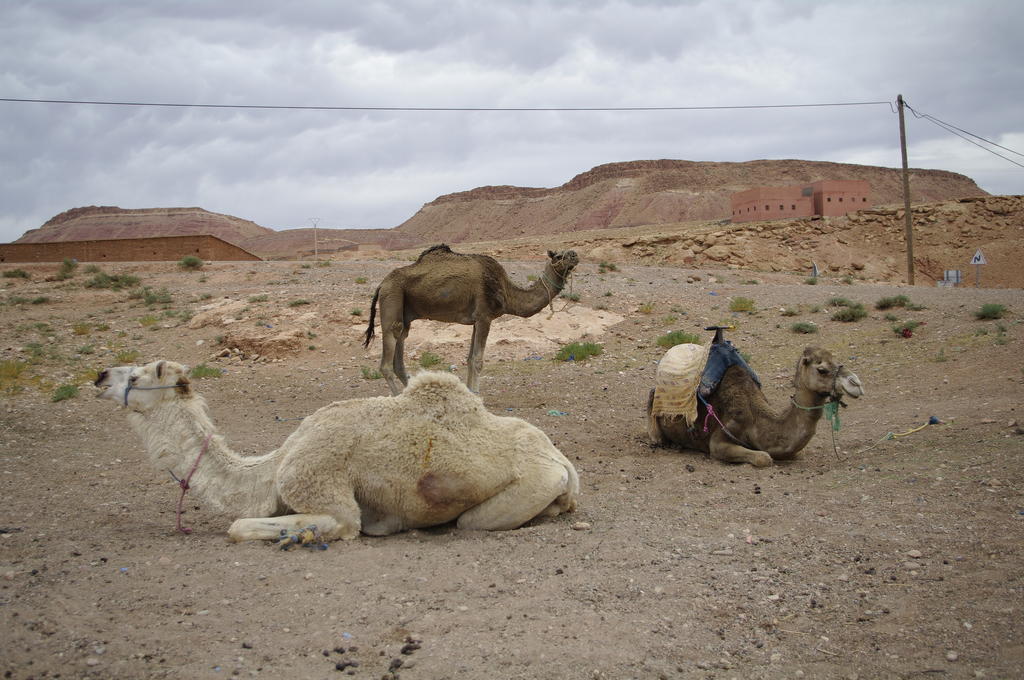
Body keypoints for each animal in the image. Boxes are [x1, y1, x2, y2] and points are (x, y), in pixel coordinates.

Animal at [94, 360, 577, 540]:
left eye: (136, 377)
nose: (99, 376)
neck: (270, 471)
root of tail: (565, 464)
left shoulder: (322, 489)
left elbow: (239, 527)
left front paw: (302, 537)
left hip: (524, 490)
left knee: (472, 521)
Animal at [364, 242, 581, 393]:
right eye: (558, 256)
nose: (574, 254)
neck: (507, 291)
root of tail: (382, 283)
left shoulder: (477, 319)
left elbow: (469, 359)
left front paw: (469, 393)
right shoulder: (485, 316)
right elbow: (477, 360)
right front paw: (477, 395)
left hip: (405, 313)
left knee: (400, 352)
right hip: (392, 298)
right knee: (386, 360)